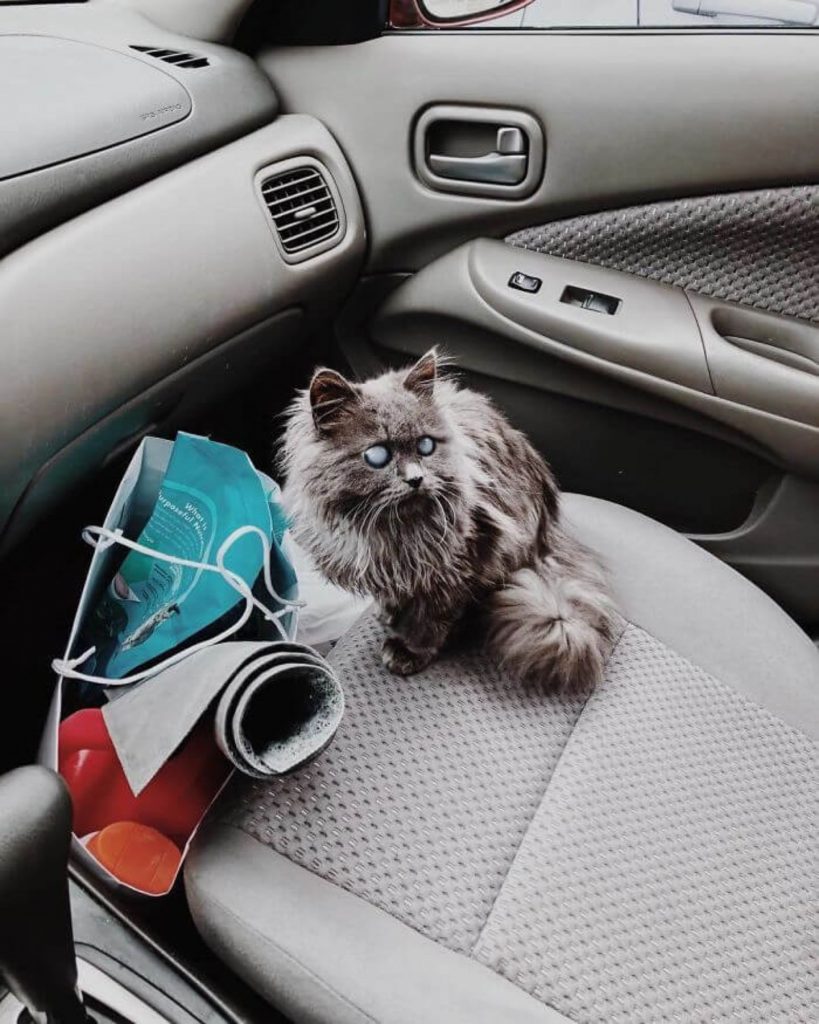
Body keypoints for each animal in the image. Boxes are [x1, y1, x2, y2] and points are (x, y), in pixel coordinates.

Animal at [278, 348, 618, 692]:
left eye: (426, 446)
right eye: (377, 456)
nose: (416, 479)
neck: (391, 531)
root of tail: (549, 532)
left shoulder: (459, 564)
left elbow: (430, 619)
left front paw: (409, 650)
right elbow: (393, 595)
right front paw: (389, 615)